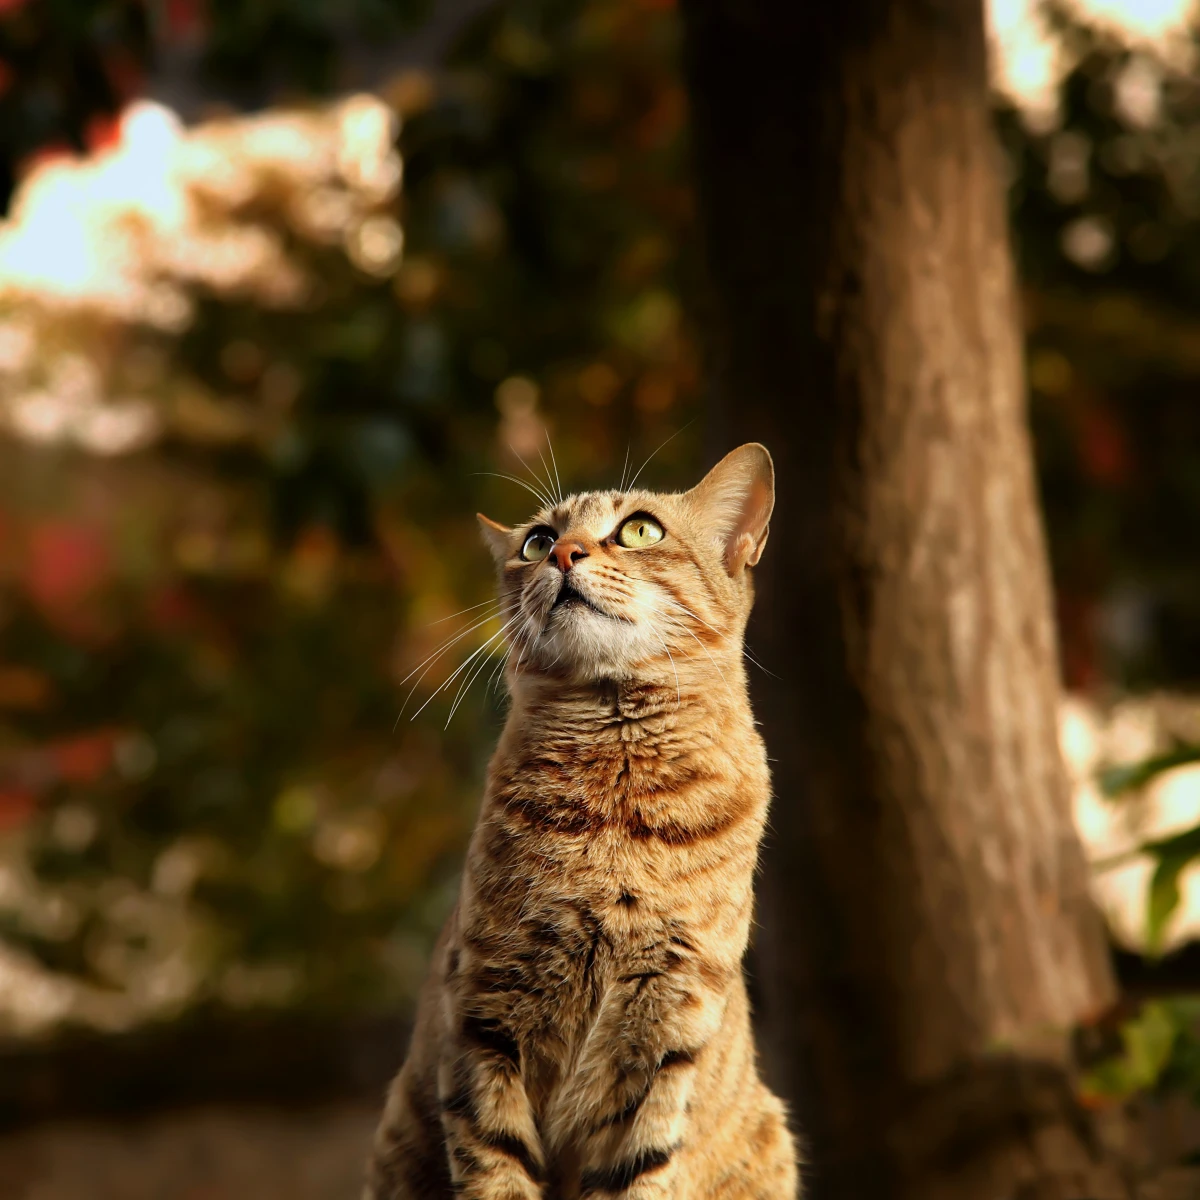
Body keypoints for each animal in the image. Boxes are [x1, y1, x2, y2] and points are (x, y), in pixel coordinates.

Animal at [362, 446, 796, 1195]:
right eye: (537, 540)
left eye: (641, 530)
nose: (564, 552)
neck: (615, 811)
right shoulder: (484, 1017)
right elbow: (495, 1167)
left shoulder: (665, 1039)